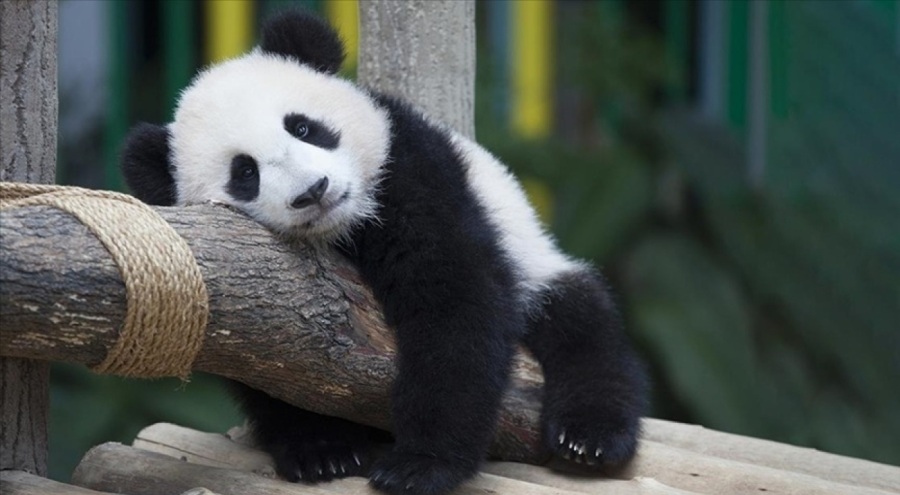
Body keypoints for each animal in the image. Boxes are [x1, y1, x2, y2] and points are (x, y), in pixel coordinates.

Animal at [121, 10, 647, 495]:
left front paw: (421, 465)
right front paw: (321, 450)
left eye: (303, 128)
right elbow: (262, 361)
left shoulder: (411, 172)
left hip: (535, 256)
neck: (345, 230)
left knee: (581, 324)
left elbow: (453, 300)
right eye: (245, 172)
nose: (314, 191)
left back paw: (588, 436)